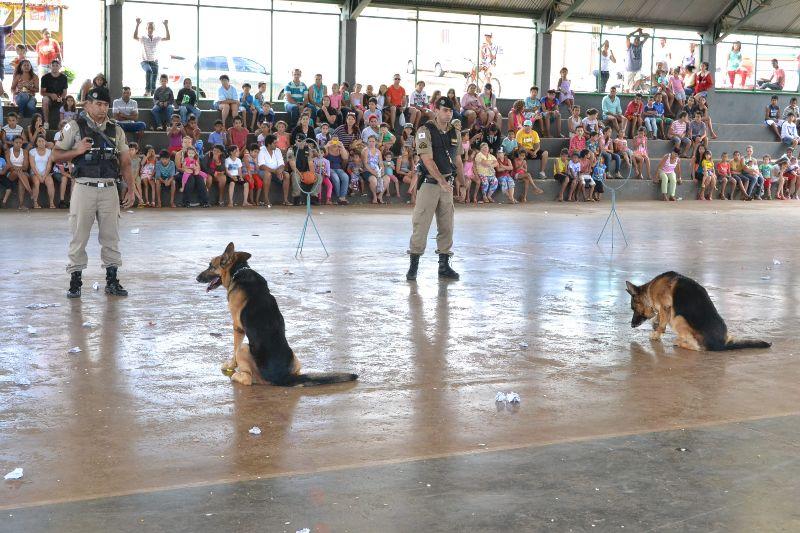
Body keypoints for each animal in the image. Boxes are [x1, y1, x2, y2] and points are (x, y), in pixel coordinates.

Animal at [195, 242, 358, 386]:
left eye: (211, 266)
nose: (196, 278)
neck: (239, 271)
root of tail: (284, 377)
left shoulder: (237, 328)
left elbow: (234, 349)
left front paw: (230, 365)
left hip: (245, 349)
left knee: (247, 378)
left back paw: (236, 375)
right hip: (295, 358)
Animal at [628, 272, 772, 352]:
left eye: (633, 308)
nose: (632, 325)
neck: (650, 290)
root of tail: (722, 345)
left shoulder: (666, 307)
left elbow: (662, 324)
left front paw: (656, 334)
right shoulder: (664, 311)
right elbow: (658, 319)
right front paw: (655, 324)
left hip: (678, 318)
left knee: (698, 347)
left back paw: (679, 342)